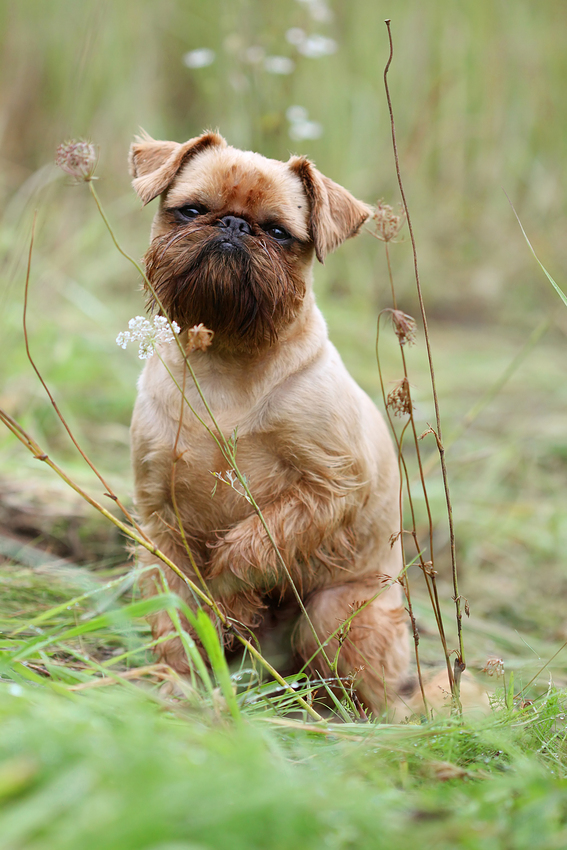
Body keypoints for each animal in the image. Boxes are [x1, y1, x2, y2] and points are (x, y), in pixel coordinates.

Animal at [129, 131, 412, 716]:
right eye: (192, 210)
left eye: (279, 232)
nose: (234, 227)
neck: (226, 359)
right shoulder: (159, 520)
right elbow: (174, 611)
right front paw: (176, 681)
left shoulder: (329, 488)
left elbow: (253, 543)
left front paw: (232, 601)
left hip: (336, 615)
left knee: (379, 699)